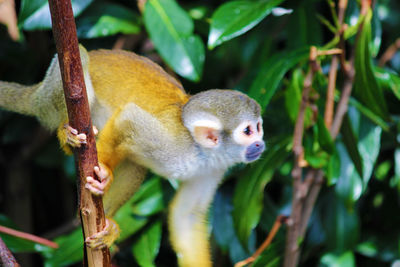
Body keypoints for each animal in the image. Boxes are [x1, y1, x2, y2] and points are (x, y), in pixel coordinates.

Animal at [0, 46, 264, 267]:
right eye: (247, 131)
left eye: (259, 127)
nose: (261, 144)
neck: (201, 151)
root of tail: (38, 92)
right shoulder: (174, 144)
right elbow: (129, 118)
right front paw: (103, 170)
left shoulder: (212, 169)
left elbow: (186, 215)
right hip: (53, 95)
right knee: (80, 60)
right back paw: (67, 137)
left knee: (136, 164)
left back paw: (105, 222)